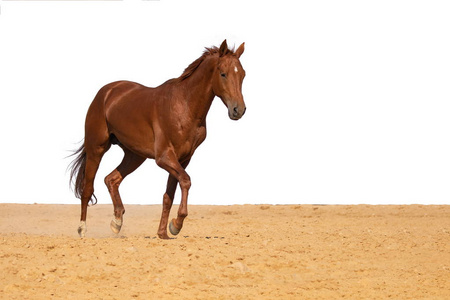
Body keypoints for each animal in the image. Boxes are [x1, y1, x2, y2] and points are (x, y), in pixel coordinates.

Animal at [68, 39, 248, 239]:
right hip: (96, 149)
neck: (184, 105)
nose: (238, 110)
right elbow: (186, 181)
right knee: (87, 189)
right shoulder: (164, 158)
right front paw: (175, 225)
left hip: (134, 155)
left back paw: (117, 222)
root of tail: (106, 92)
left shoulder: (182, 159)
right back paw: (82, 229)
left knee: (111, 179)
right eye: (223, 74)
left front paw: (163, 233)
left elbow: (169, 195)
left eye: (242, 75)